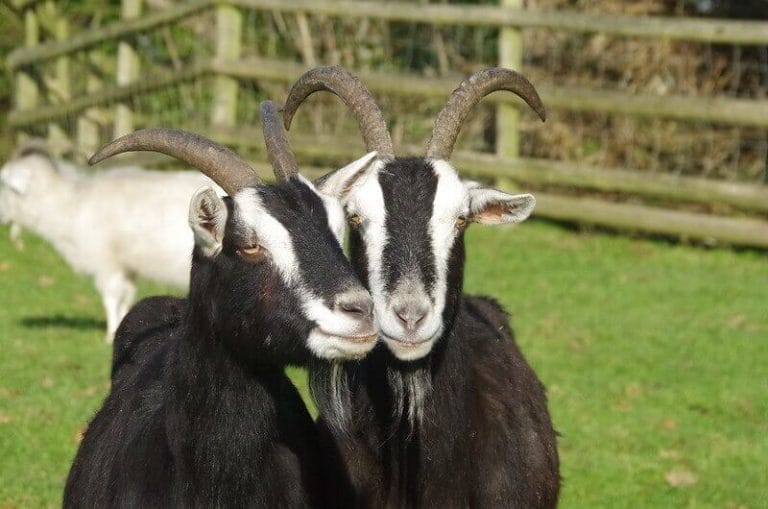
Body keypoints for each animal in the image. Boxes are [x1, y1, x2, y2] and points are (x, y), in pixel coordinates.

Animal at [0, 141, 223, 342]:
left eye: (5, 184)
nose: (1, 216)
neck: (74, 203)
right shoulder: (126, 267)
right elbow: (127, 297)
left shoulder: (106, 263)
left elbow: (111, 298)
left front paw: (110, 335)